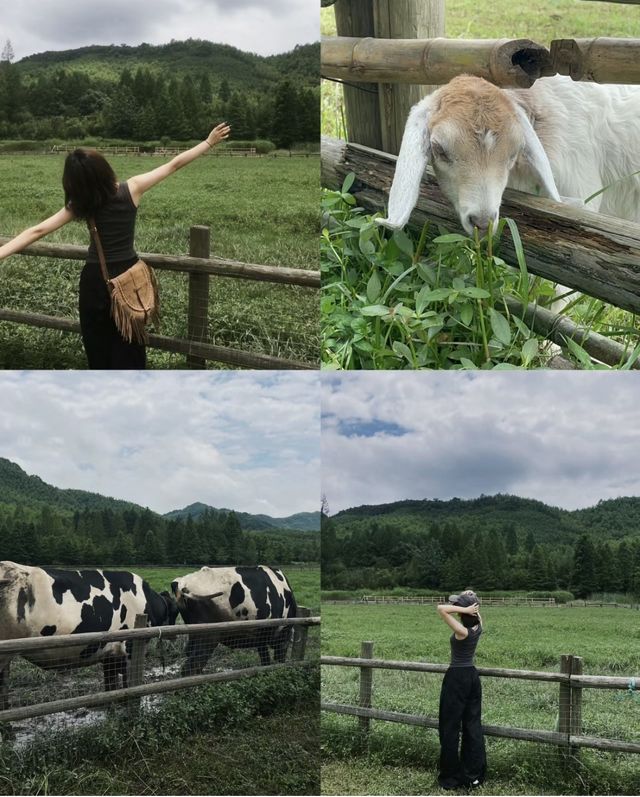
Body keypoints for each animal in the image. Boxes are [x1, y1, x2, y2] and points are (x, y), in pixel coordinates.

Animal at [0, 560, 178, 704]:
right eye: (176, 611)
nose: (175, 636)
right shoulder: (129, 649)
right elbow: (128, 684)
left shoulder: (110, 654)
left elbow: (111, 686)